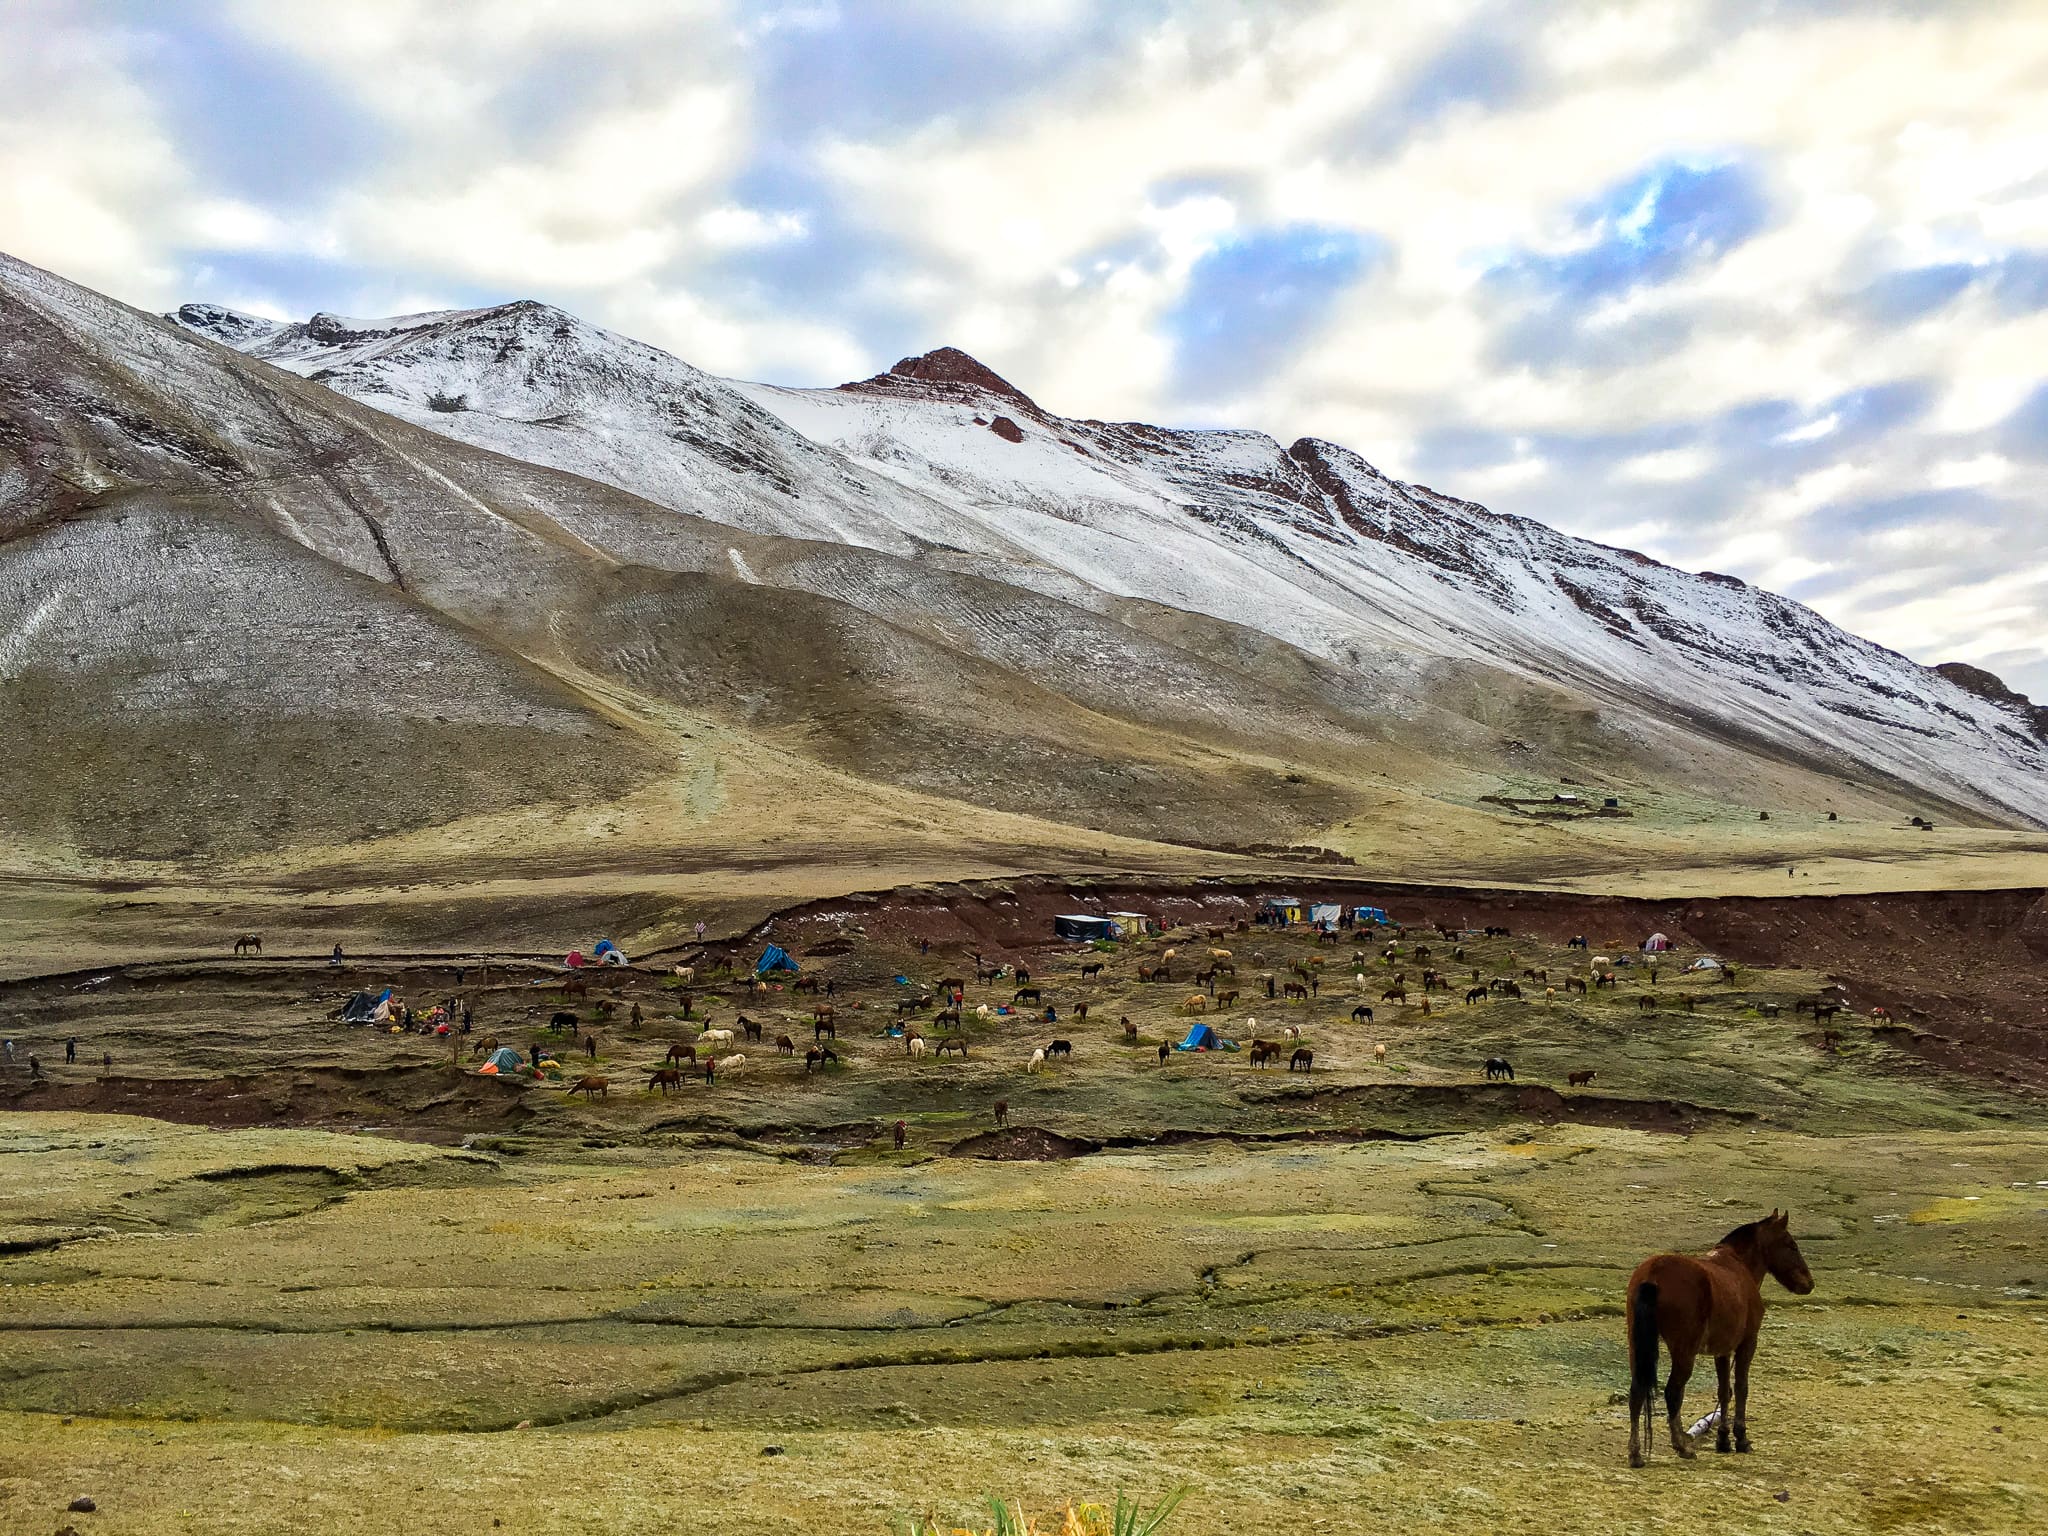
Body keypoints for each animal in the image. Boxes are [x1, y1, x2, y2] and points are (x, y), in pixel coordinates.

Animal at [1622, 1212, 1818, 1466]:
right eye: (1791, 1245)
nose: (1809, 1283)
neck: (1738, 1266)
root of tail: (1652, 1273)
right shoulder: (1747, 1343)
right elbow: (1741, 1387)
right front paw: (1741, 1439)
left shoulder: (1722, 1350)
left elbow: (1724, 1391)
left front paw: (1723, 1440)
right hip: (1684, 1352)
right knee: (1673, 1392)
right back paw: (1681, 1446)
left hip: (1637, 1348)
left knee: (1637, 1393)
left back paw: (1636, 1453)